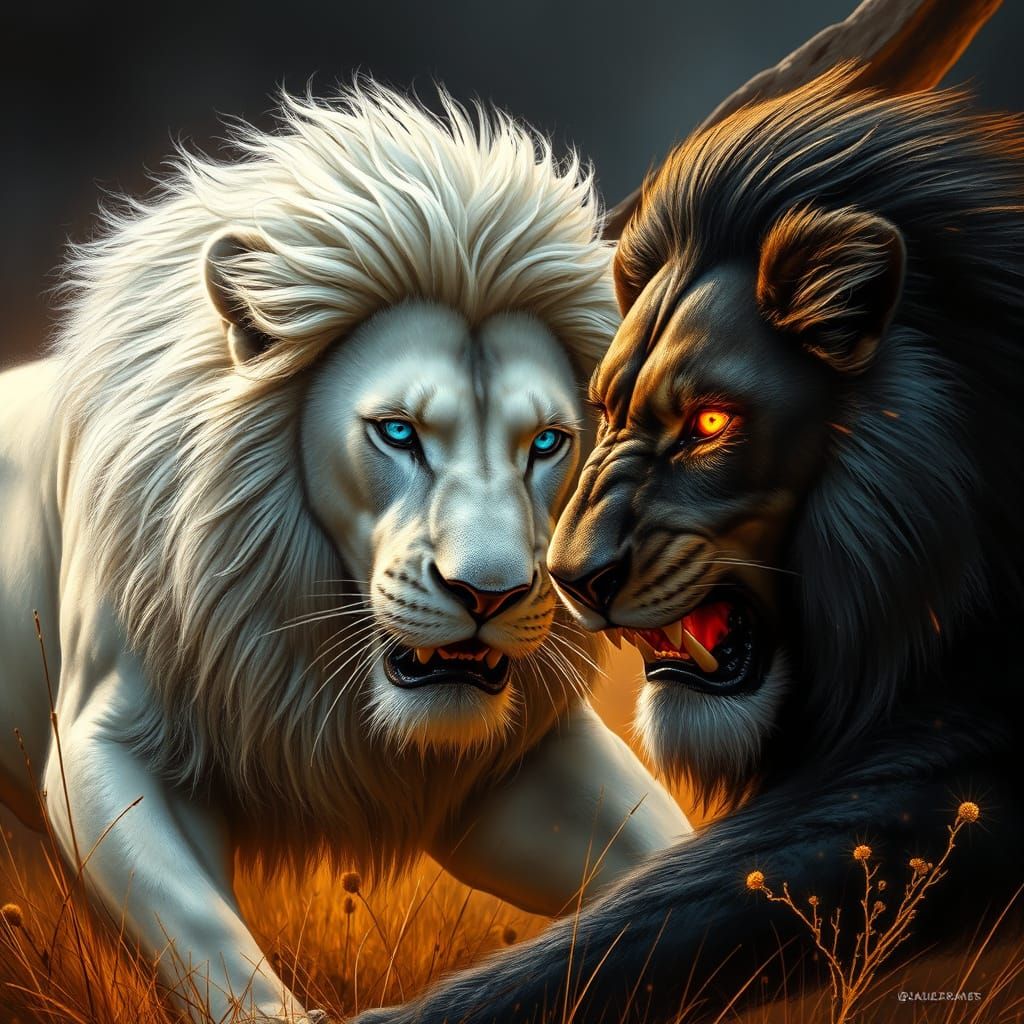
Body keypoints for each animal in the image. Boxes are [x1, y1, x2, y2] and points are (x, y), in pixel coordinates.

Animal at [0, 86, 690, 1022]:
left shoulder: (501, 773)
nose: (490, 594)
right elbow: (209, 942)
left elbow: (669, 855)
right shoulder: (110, 744)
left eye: (548, 442)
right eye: (397, 432)